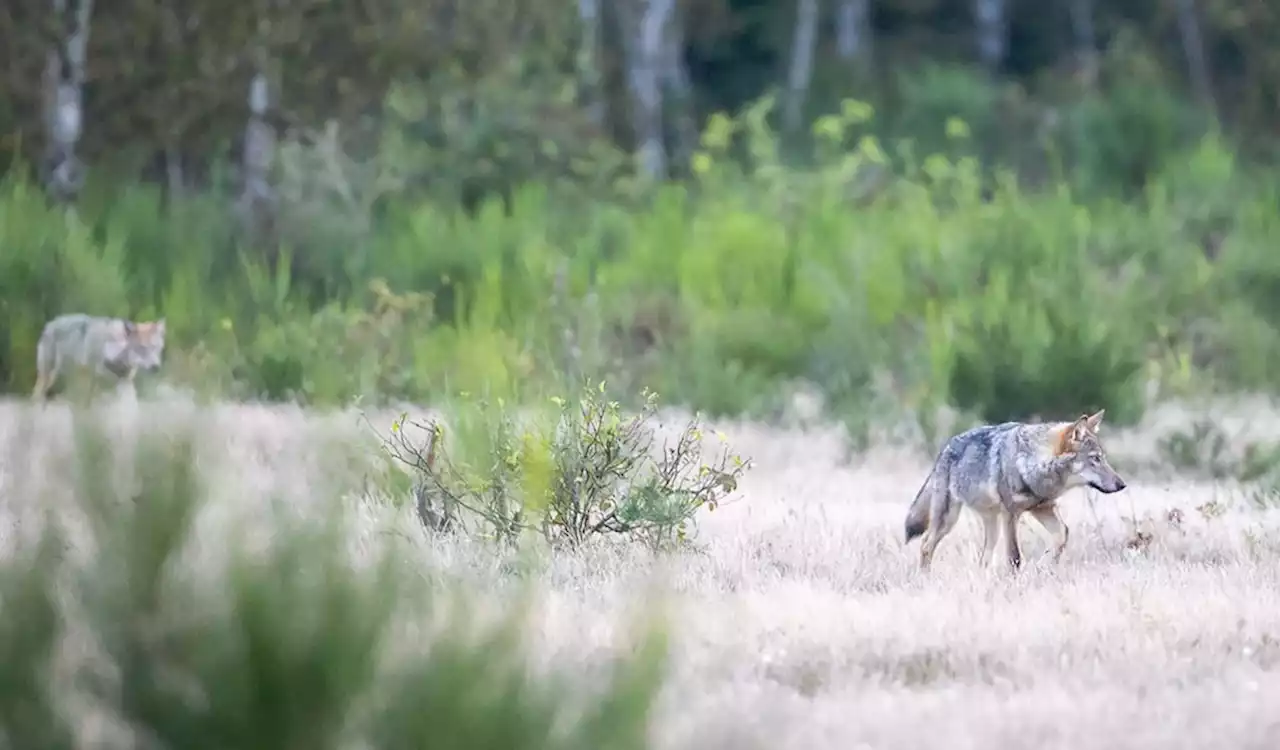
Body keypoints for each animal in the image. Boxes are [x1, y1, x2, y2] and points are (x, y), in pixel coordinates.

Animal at [31, 312, 166, 399]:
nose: (156, 367)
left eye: (155, 348)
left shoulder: (125, 383)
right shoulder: (97, 384)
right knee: (36, 395)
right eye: (142, 348)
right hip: (50, 378)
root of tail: (49, 324)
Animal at [906, 409, 1126, 565]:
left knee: (983, 558)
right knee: (926, 545)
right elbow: (1015, 558)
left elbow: (1062, 535)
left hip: (991, 525)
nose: (1122, 484)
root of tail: (945, 448)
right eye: (1095, 459)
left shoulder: (1043, 508)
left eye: (1103, 458)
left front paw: (1044, 564)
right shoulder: (1010, 514)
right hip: (948, 520)